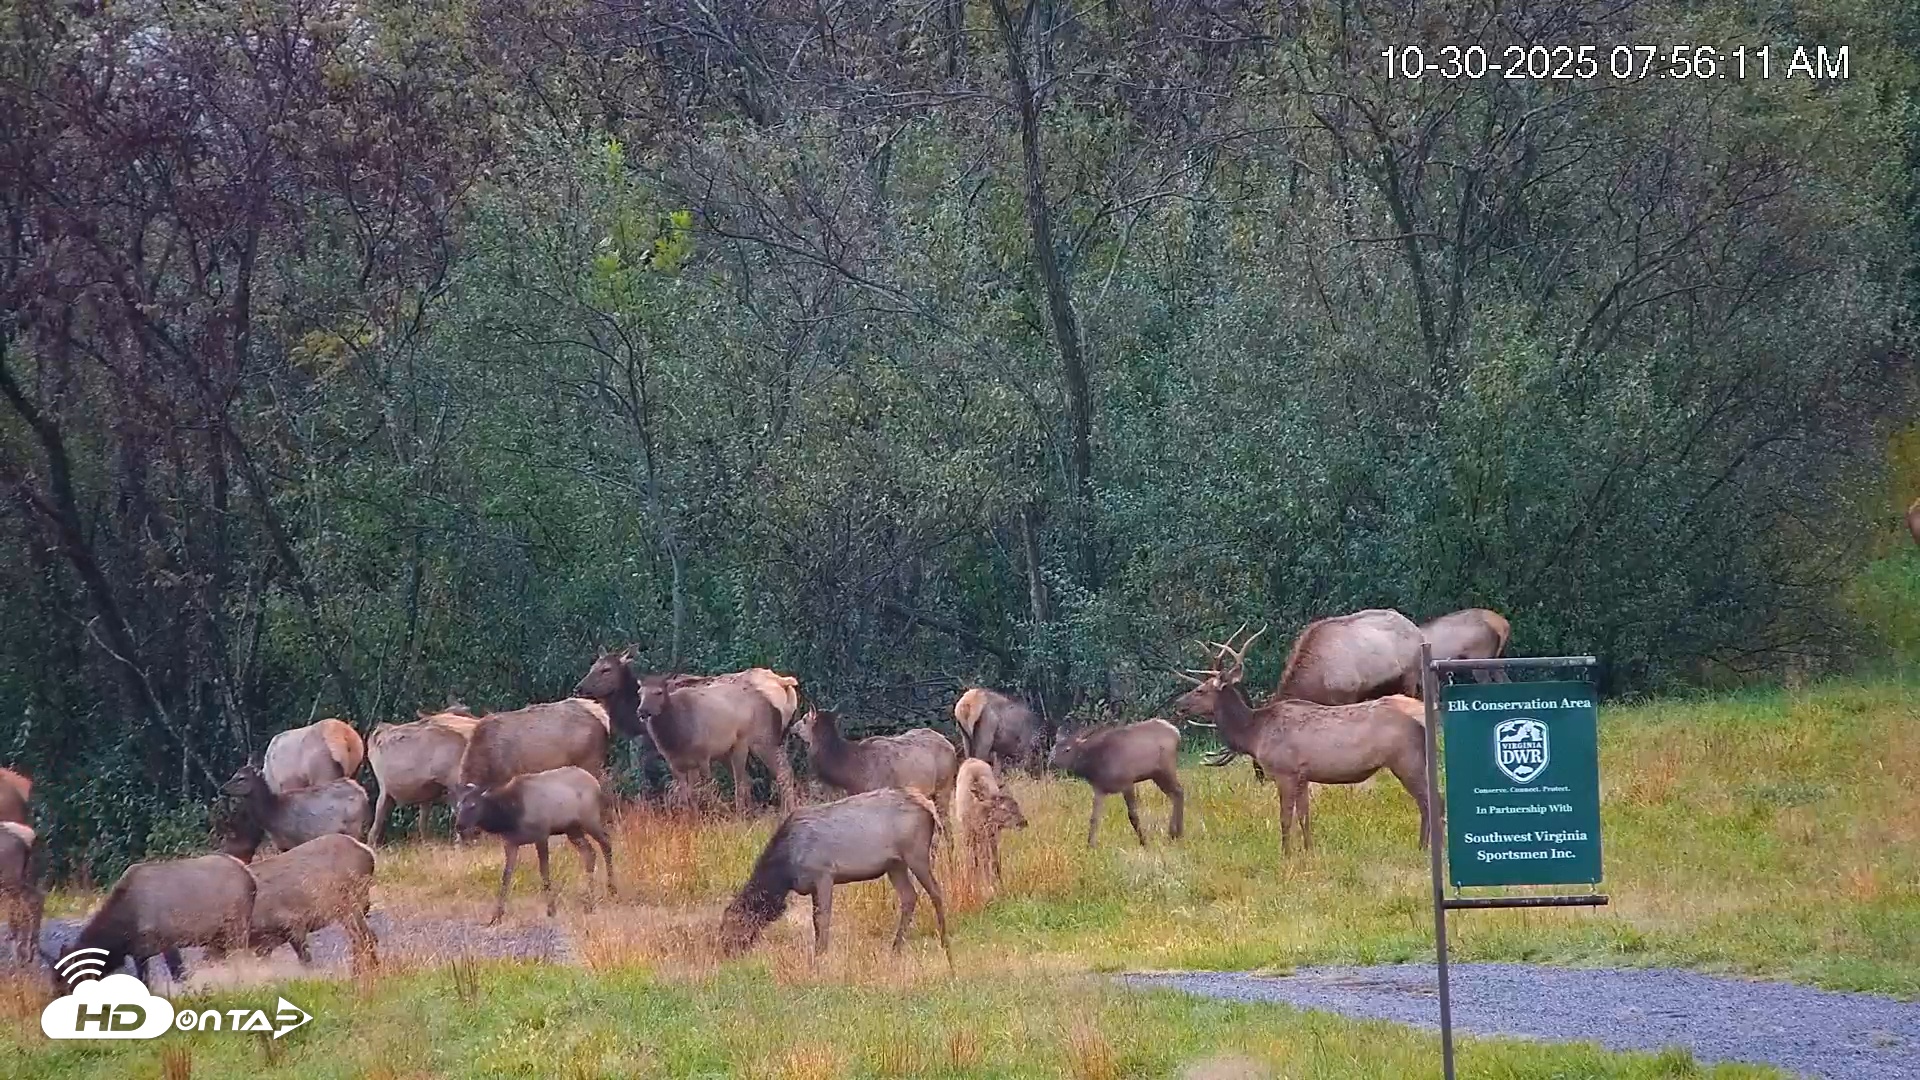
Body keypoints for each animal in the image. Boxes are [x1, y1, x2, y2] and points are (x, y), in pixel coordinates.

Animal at [1172, 627, 1433, 858]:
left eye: (1201, 690)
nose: (1178, 704)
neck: (1255, 733)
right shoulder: (1303, 775)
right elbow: (1305, 816)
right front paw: (1309, 850)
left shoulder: (1285, 771)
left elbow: (1285, 817)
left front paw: (1285, 853)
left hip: (1406, 759)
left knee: (1429, 801)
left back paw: (1423, 847)